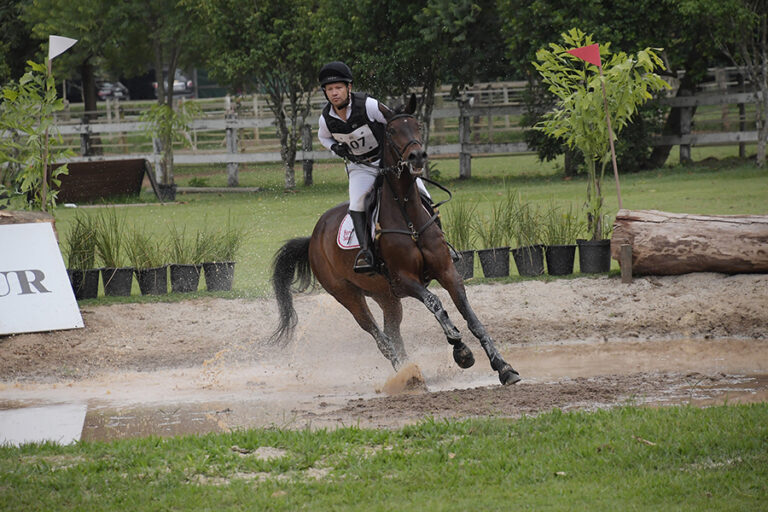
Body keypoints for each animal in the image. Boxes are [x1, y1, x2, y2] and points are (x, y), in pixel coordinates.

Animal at [272, 94, 520, 386]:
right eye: (391, 131)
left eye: (417, 126)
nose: (417, 156)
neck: (407, 215)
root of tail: (314, 237)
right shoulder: (404, 280)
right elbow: (435, 304)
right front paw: (461, 350)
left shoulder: (447, 271)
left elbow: (471, 317)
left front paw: (503, 367)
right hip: (348, 295)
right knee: (379, 336)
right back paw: (405, 372)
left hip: (386, 296)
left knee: (392, 331)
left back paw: (410, 371)